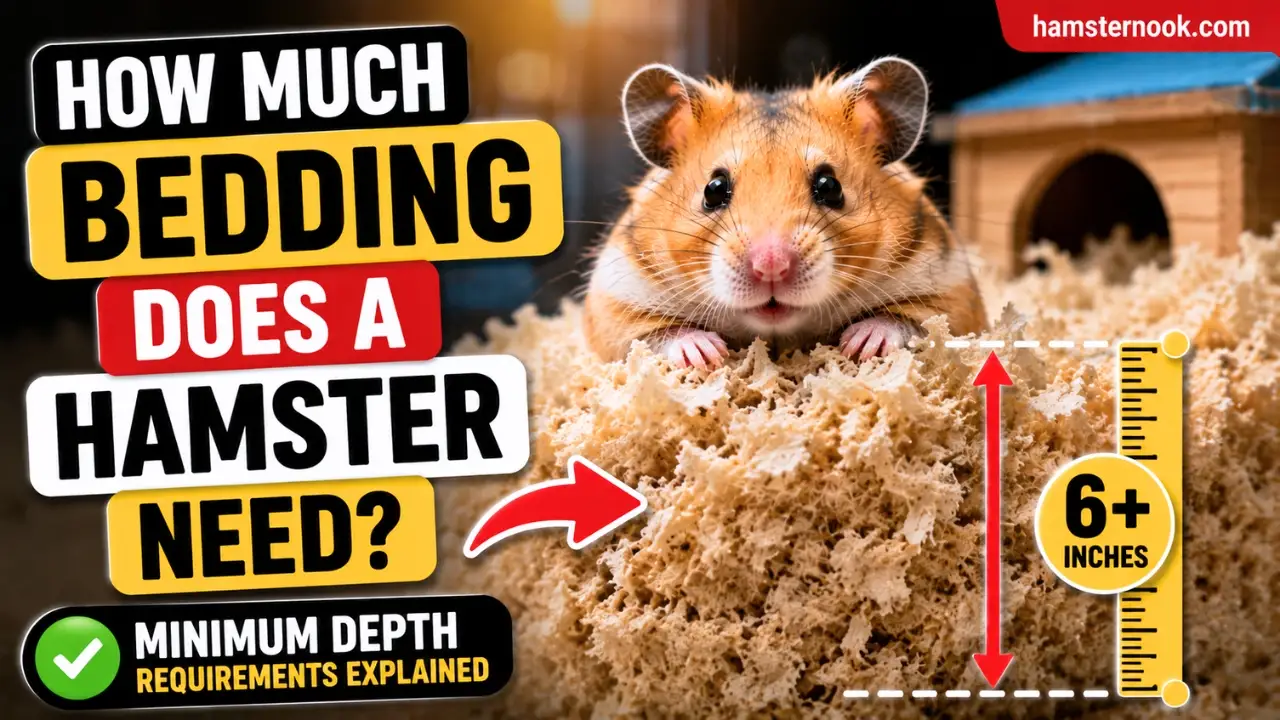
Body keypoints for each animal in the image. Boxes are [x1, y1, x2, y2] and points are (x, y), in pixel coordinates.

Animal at [583, 57, 987, 368]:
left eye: (830, 186)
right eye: (713, 190)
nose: (771, 267)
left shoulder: (953, 293)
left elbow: (909, 321)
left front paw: (859, 343)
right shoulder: (614, 304)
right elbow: (654, 335)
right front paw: (706, 353)